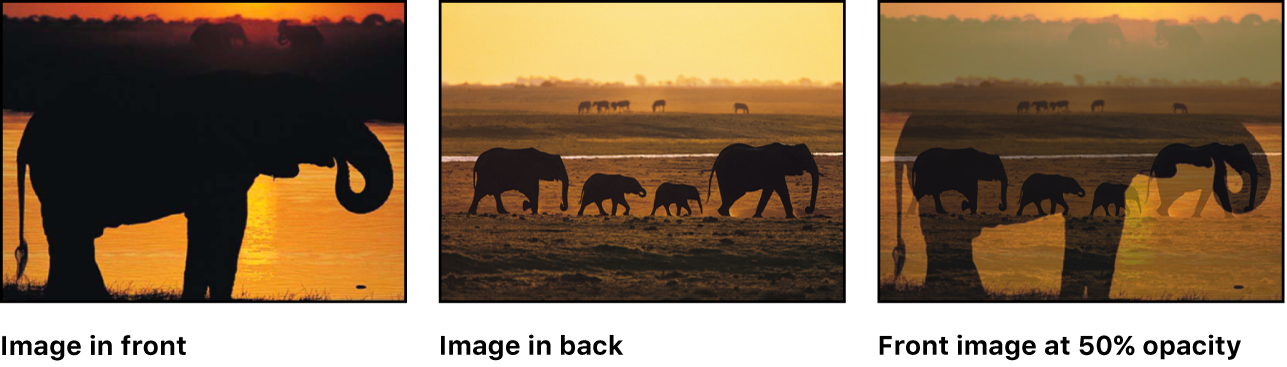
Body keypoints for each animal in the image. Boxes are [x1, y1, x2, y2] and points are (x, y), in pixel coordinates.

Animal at [13, 69, 391, 298]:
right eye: (326, 117)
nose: (340, 163)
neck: (258, 83)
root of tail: (27, 136)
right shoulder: (219, 165)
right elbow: (224, 227)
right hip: (61, 175)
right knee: (71, 237)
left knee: (71, 240)